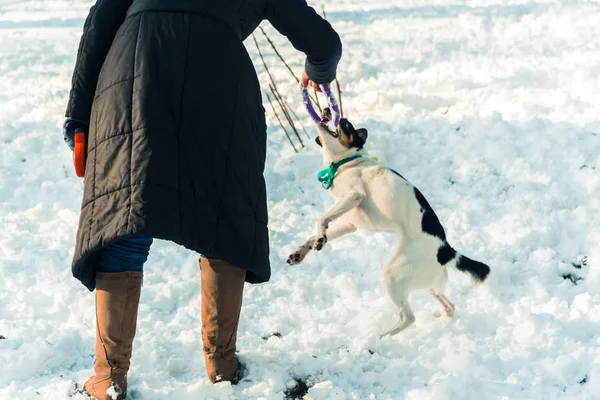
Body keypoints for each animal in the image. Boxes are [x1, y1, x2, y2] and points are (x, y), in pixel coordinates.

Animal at [288, 111, 490, 338]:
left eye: (347, 126)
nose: (330, 112)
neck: (347, 162)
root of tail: (446, 249)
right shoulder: (349, 223)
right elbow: (315, 233)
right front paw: (302, 251)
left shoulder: (354, 195)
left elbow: (321, 220)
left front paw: (320, 237)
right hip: (424, 281)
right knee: (449, 306)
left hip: (392, 274)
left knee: (408, 317)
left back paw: (379, 337)